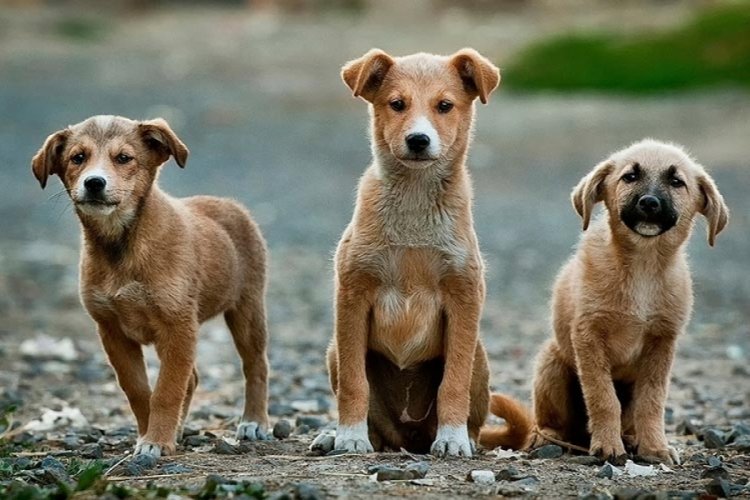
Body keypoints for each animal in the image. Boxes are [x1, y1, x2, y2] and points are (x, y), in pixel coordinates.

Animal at [33, 115, 274, 458]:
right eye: (77, 158)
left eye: (124, 158)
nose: (94, 183)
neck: (122, 246)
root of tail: (229, 204)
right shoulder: (112, 331)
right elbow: (138, 389)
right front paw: (151, 434)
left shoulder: (178, 326)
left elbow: (166, 390)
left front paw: (157, 440)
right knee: (193, 378)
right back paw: (180, 428)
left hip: (247, 309)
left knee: (256, 366)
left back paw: (254, 422)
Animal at [484, 138, 732, 464]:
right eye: (630, 176)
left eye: (677, 182)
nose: (649, 203)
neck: (642, 266)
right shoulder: (588, 336)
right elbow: (603, 397)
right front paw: (607, 446)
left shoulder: (662, 342)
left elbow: (652, 402)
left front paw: (655, 447)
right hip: (552, 363)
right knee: (549, 422)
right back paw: (549, 438)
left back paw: (631, 438)